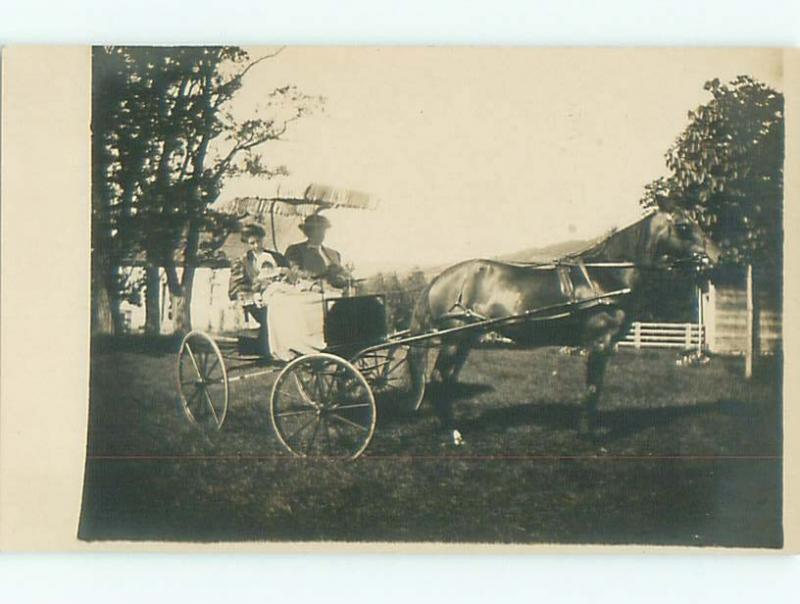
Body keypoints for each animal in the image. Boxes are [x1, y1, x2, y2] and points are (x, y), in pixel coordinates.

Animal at [410, 208, 720, 438]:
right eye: (683, 226)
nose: (716, 255)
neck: (605, 277)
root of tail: (439, 279)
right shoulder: (600, 342)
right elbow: (593, 388)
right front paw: (587, 433)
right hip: (454, 339)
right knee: (438, 379)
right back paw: (451, 432)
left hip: (466, 339)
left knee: (448, 380)